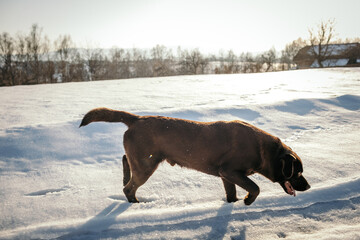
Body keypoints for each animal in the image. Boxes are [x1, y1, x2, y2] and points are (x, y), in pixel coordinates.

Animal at [80, 108, 310, 204]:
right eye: (297, 173)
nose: (308, 186)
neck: (263, 149)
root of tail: (136, 119)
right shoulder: (230, 171)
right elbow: (255, 187)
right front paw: (247, 201)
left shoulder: (226, 175)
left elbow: (231, 193)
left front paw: (233, 203)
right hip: (146, 164)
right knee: (129, 189)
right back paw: (135, 204)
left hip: (142, 159)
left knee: (125, 160)